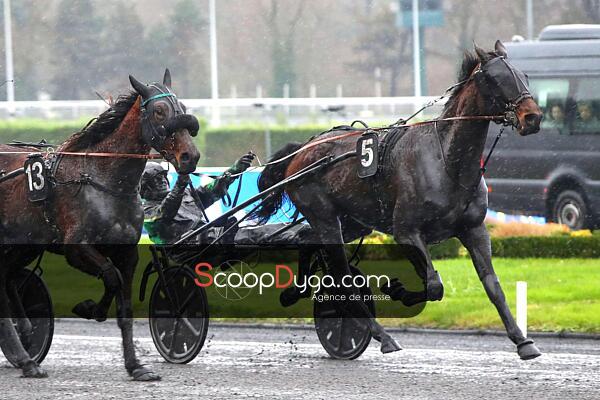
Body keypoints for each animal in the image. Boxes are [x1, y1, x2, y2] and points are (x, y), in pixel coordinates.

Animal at [0, 69, 200, 380]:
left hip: (25, 244)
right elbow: (111, 276)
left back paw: (25, 338)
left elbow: (125, 304)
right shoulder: (76, 248)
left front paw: (136, 366)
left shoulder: (127, 253)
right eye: (158, 111)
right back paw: (27, 360)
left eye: (182, 108)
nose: (190, 156)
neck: (102, 180)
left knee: (8, 277)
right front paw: (91, 307)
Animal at [255, 41, 544, 359]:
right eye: (495, 78)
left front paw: (523, 341)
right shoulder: (406, 232)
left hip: (352, 222)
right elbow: (434, 285)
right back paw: (383, 336)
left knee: (306, 238)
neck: (446, 160)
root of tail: (302, 150)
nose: (532, 117)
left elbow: (493, 286)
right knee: (342, 276)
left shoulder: (474, 229)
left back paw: (297, 289)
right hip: (326, 218)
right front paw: (399, 290)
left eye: (523, 75)